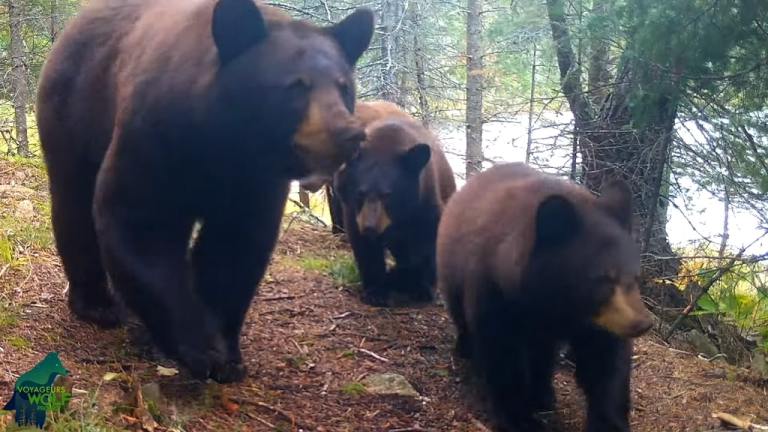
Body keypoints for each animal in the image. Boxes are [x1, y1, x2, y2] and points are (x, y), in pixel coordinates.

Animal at [37, 0, 374, 384]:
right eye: (296, 85)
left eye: (343, 86)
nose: (349, 133)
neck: (222, 138)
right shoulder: (155, 136)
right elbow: (140, 222)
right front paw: (197, 347)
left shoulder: (254, 179)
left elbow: (233, 248)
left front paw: (226, 354)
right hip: (75, 111)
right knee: (73, 202)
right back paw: (97, 305)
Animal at [332, 101, 452, 306]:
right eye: (360, 193)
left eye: (388, 194)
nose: (370, 227)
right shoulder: (352, 211)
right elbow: (364, 248)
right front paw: (376, 291)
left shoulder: (425, 202)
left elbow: (430, 241)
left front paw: (421, 288)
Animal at [438, 163, 656, 432]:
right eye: (603, 278)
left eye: (635, 276)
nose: (643, 323)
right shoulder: (494, 292)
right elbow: (501, 351)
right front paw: (519, 418)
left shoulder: (598, 321)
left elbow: (605, 362)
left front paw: (609, 422)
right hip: (452, 274)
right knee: (462, 317)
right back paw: (466, 349)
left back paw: (543, 393)